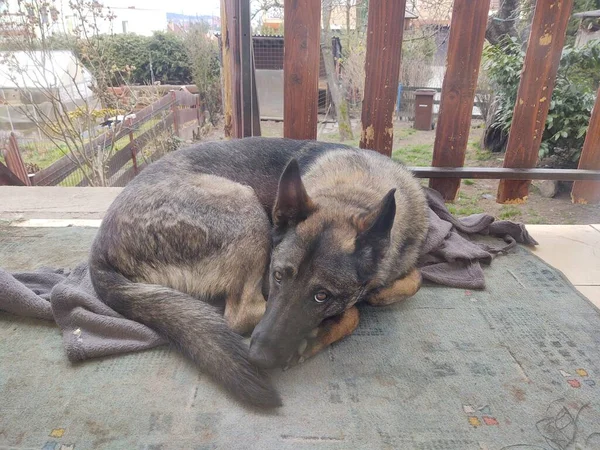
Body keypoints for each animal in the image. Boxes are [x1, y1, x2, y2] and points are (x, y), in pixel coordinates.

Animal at [86, 137, 428, 408]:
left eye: (321, 296)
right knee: (241, 314)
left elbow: (416, 277)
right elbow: (355, 312)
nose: (258, 358)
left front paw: (381, 291)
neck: (354, 192)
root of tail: (99, 251)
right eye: (277, 276)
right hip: (246, 206)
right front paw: (325, 330)